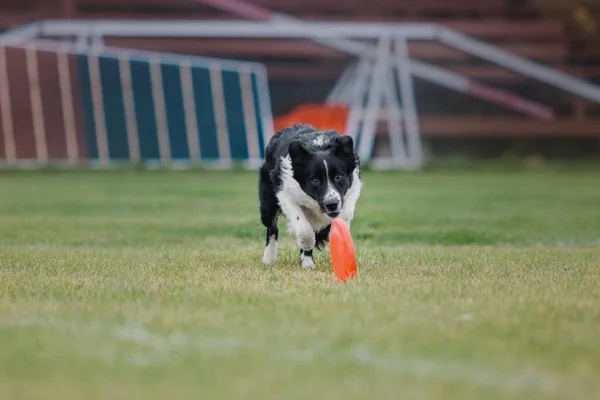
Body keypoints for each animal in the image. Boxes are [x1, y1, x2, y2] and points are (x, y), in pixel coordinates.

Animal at [256, 123, 360, 268]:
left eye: (338, 177)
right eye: (315, 180)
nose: (332, 204)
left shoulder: (351, 191)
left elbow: (343, 217)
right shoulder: (285, 193)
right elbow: (303, 228)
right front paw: (307, 243)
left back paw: (307, 263)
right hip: (267, 205)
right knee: (272, 228)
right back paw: (269, 258)